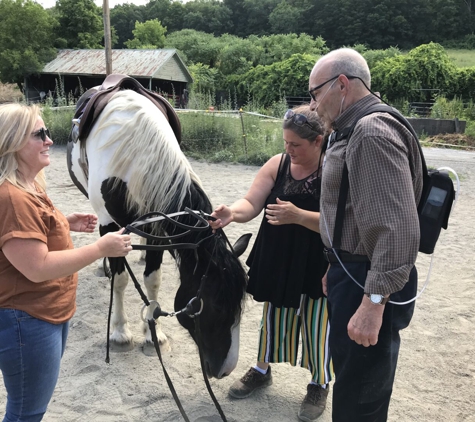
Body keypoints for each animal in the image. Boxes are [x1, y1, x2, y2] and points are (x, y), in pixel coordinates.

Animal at [69, 90, 251, 380]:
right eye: (216, 306)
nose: (226, 369)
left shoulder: (156, 227)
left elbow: (153, 280)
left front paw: (153, 334)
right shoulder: (110, 225)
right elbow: (120, 281)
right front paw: (120, 332)